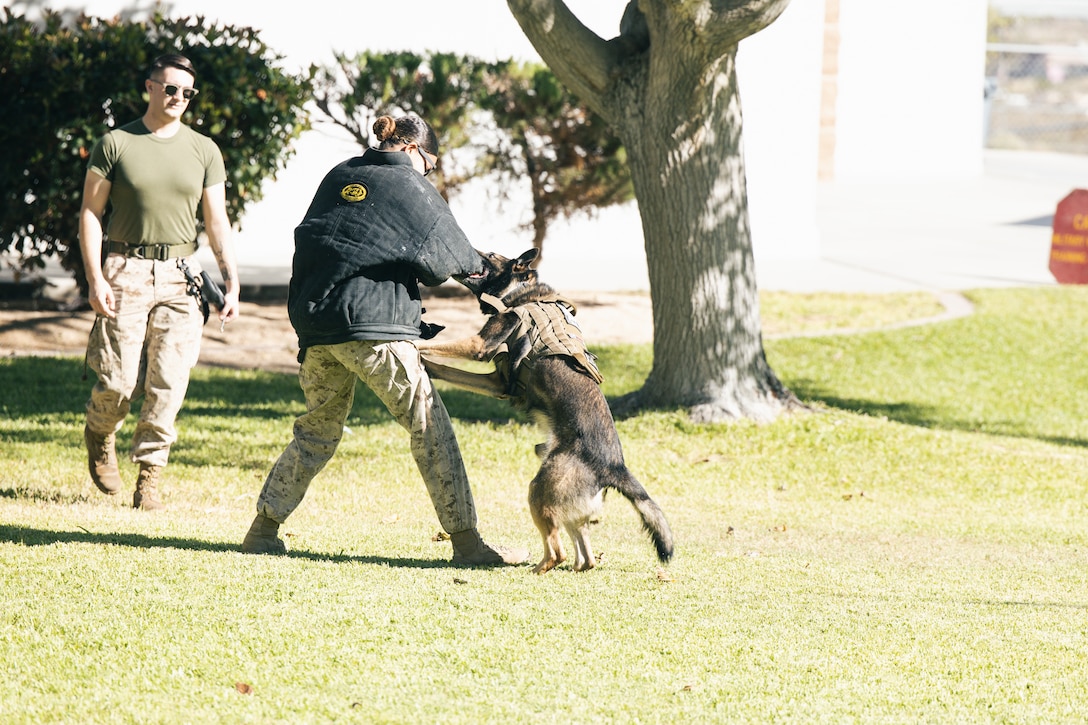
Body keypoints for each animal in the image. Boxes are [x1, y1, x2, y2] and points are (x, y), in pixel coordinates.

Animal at [419, 247, 674, 570]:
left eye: (490, 254)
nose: (466, 252)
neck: (518, 291)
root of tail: (614, 466)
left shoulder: (478, 345)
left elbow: (436, 347)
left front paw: (411, 345)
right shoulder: (497, 383)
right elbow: (445, 368)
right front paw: (424, 362)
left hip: (538, 492)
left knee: (556, 551)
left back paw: (534, 569)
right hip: (564, 505)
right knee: (585, 557)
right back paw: (572, 566)